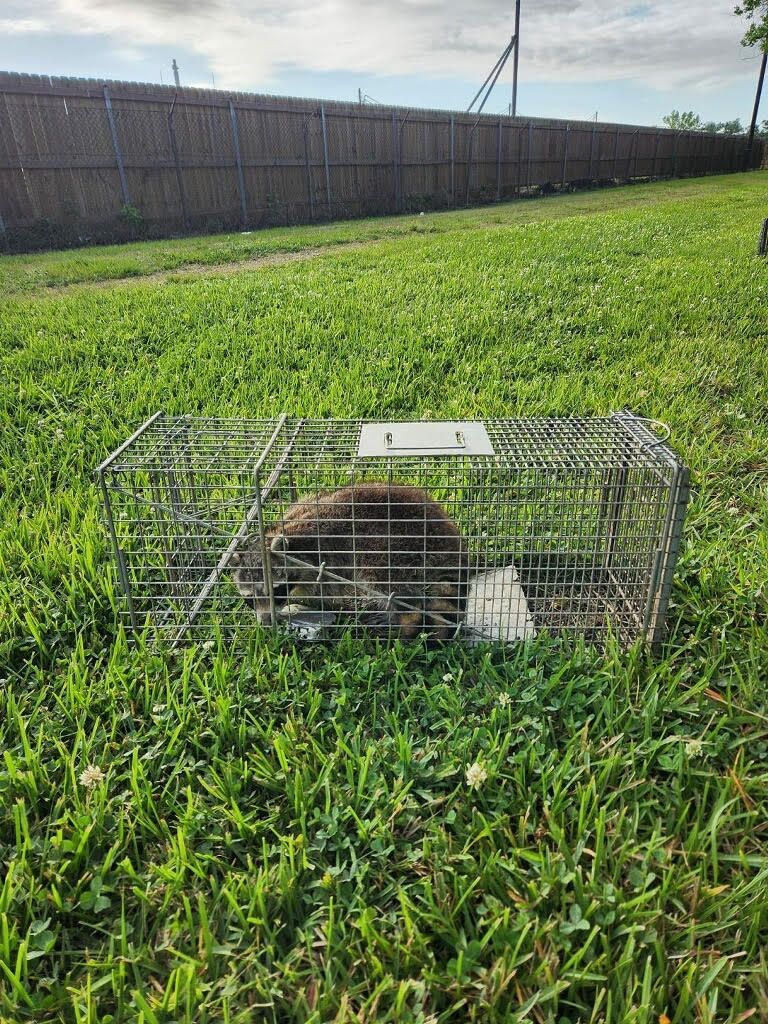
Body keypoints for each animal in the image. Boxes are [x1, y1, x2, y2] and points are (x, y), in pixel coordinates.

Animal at [231, 483, 469, 640]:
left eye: (278, 591)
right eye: (249, 600)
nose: (266, 623)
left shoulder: (328, 561)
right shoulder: (302, 505)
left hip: (404, 548)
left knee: (384, 579)